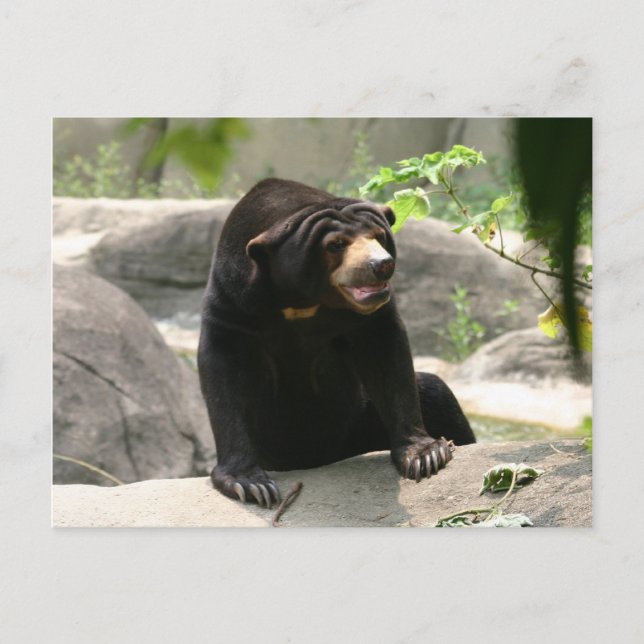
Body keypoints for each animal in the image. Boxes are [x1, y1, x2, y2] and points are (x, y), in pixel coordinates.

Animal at [198, 178, 475, 507]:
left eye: (379, 236)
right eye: (336, 244)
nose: (382, 265)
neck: (302, 299)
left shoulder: (370, 316)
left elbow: (387, 356)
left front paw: (426, 455)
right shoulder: (233, 301)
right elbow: (223, 374)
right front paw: (250, 485)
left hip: (360, 418)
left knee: (436, 393)